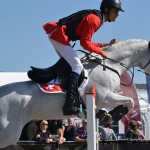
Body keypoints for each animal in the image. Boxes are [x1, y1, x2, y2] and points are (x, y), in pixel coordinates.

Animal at [0, 39, 150, 148]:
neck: (110, 65)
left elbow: (126, 102)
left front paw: (103, 115)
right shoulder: (104, 97)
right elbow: (130, 101)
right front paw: (109, 116)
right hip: (9, 133)